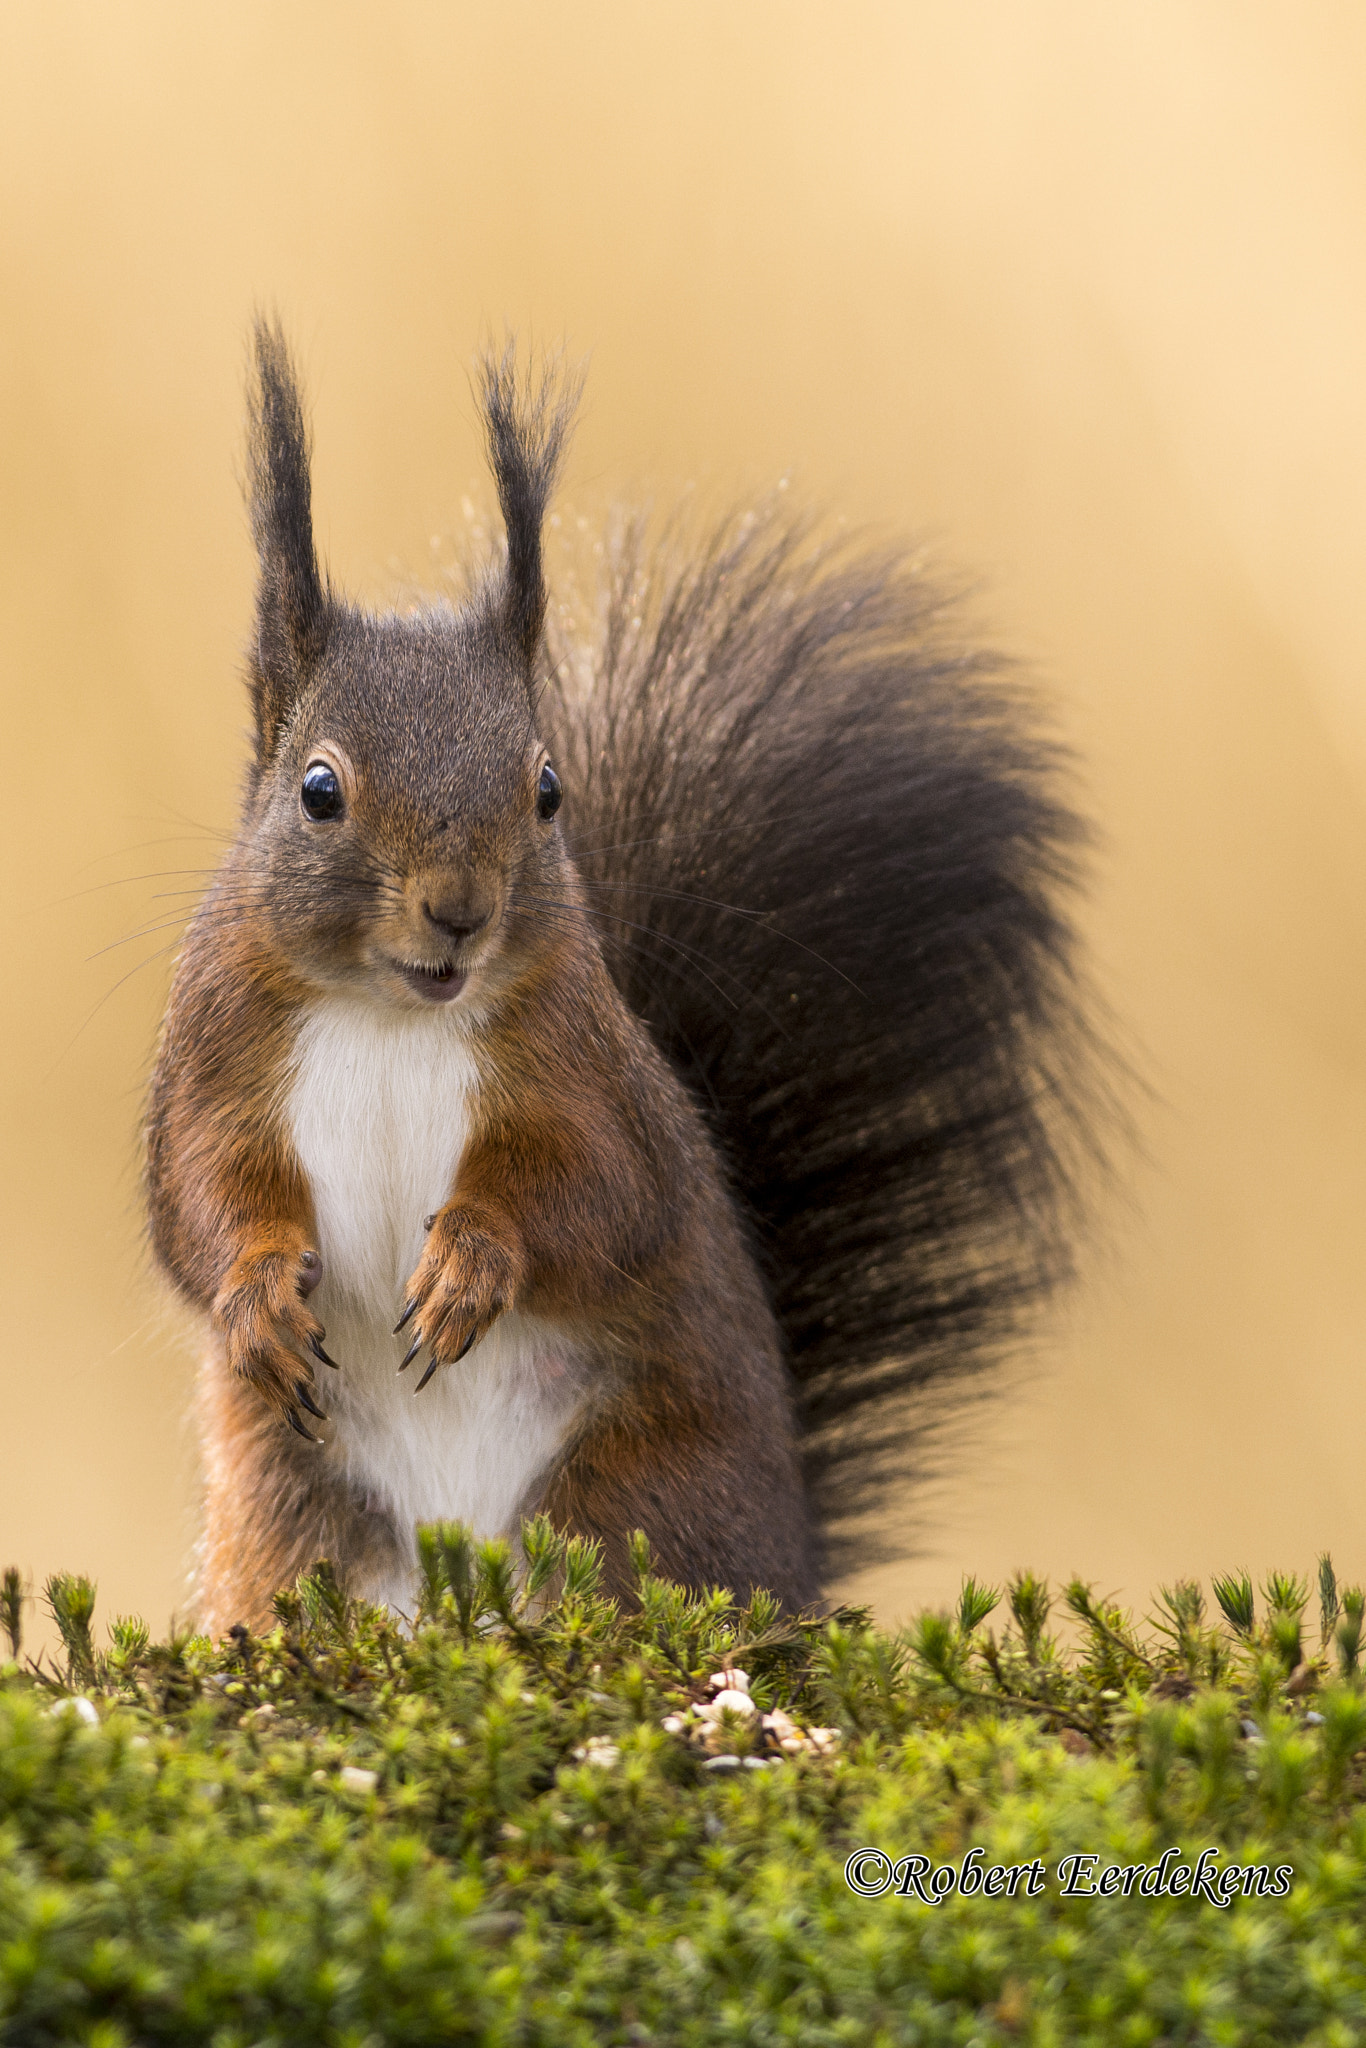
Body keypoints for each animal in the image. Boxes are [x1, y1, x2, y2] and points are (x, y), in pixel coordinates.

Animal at [144, 319, 1097, 1630]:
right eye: (318, 789)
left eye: (548, 789)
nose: (460, 911)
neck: (390, 1014)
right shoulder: (215, 1052)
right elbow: (196, 1199)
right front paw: (255, 1297)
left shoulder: (582, 1065)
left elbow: (596, 1191)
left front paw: (472, 1263)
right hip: (297, 1524)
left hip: (631, 1498)